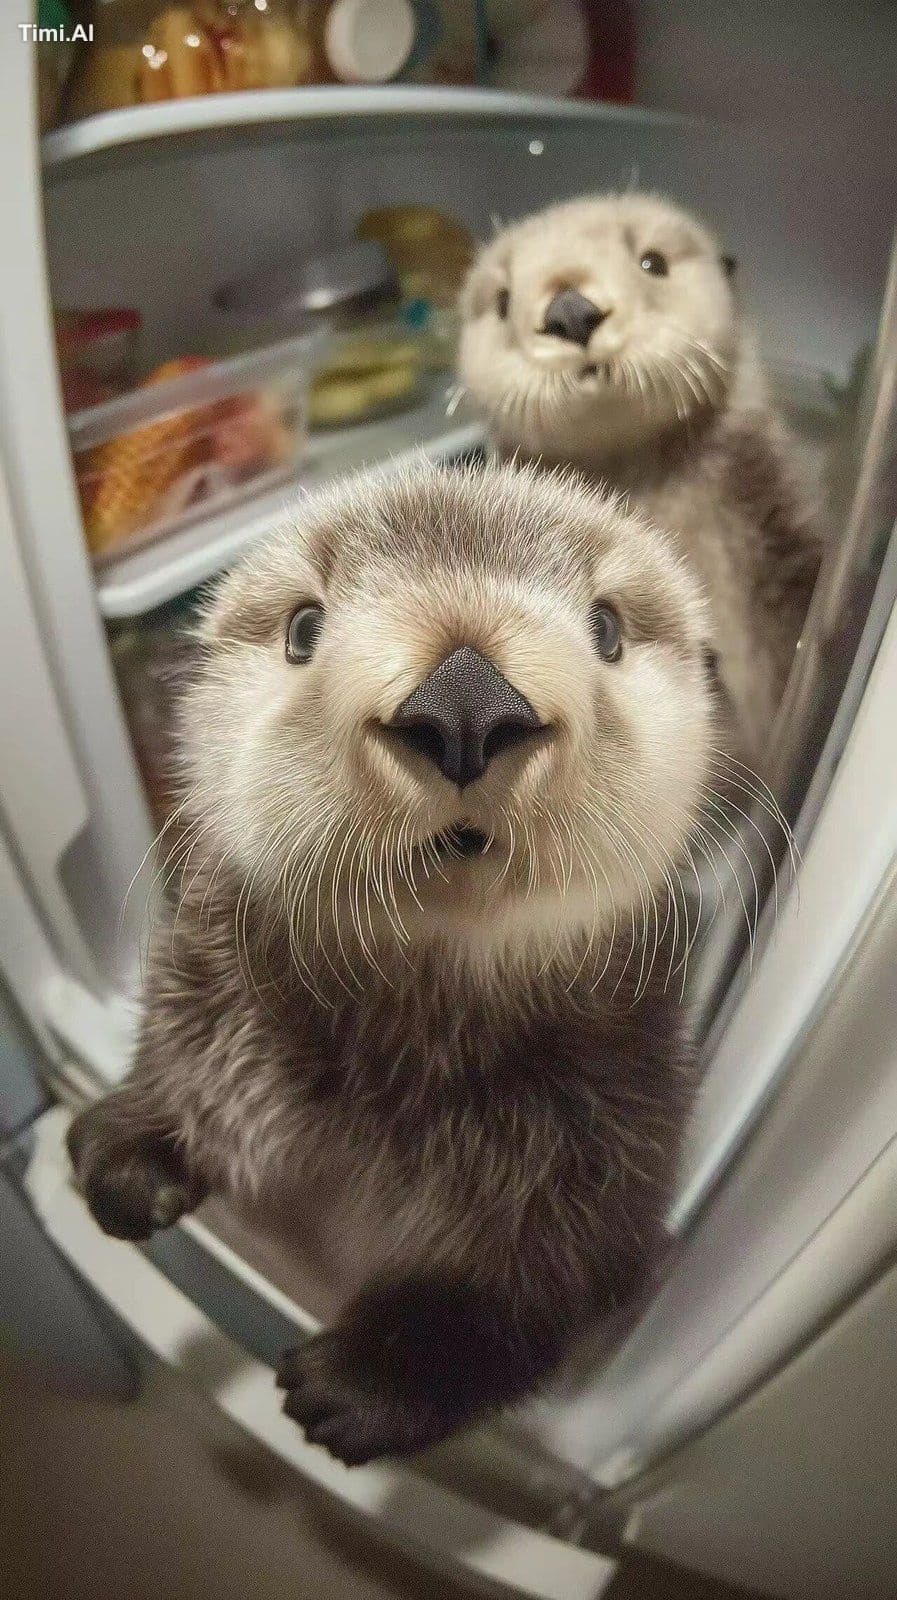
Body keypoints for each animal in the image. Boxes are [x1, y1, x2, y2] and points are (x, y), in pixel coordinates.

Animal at [68, 460, 717, 1466]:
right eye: (304, 627)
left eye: (606, 627)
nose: (464, 698)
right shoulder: (219, 984)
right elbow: (188, 1057)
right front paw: (135, 1151)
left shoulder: (615, 1099)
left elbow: (545, 1268)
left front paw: (369, 1379)